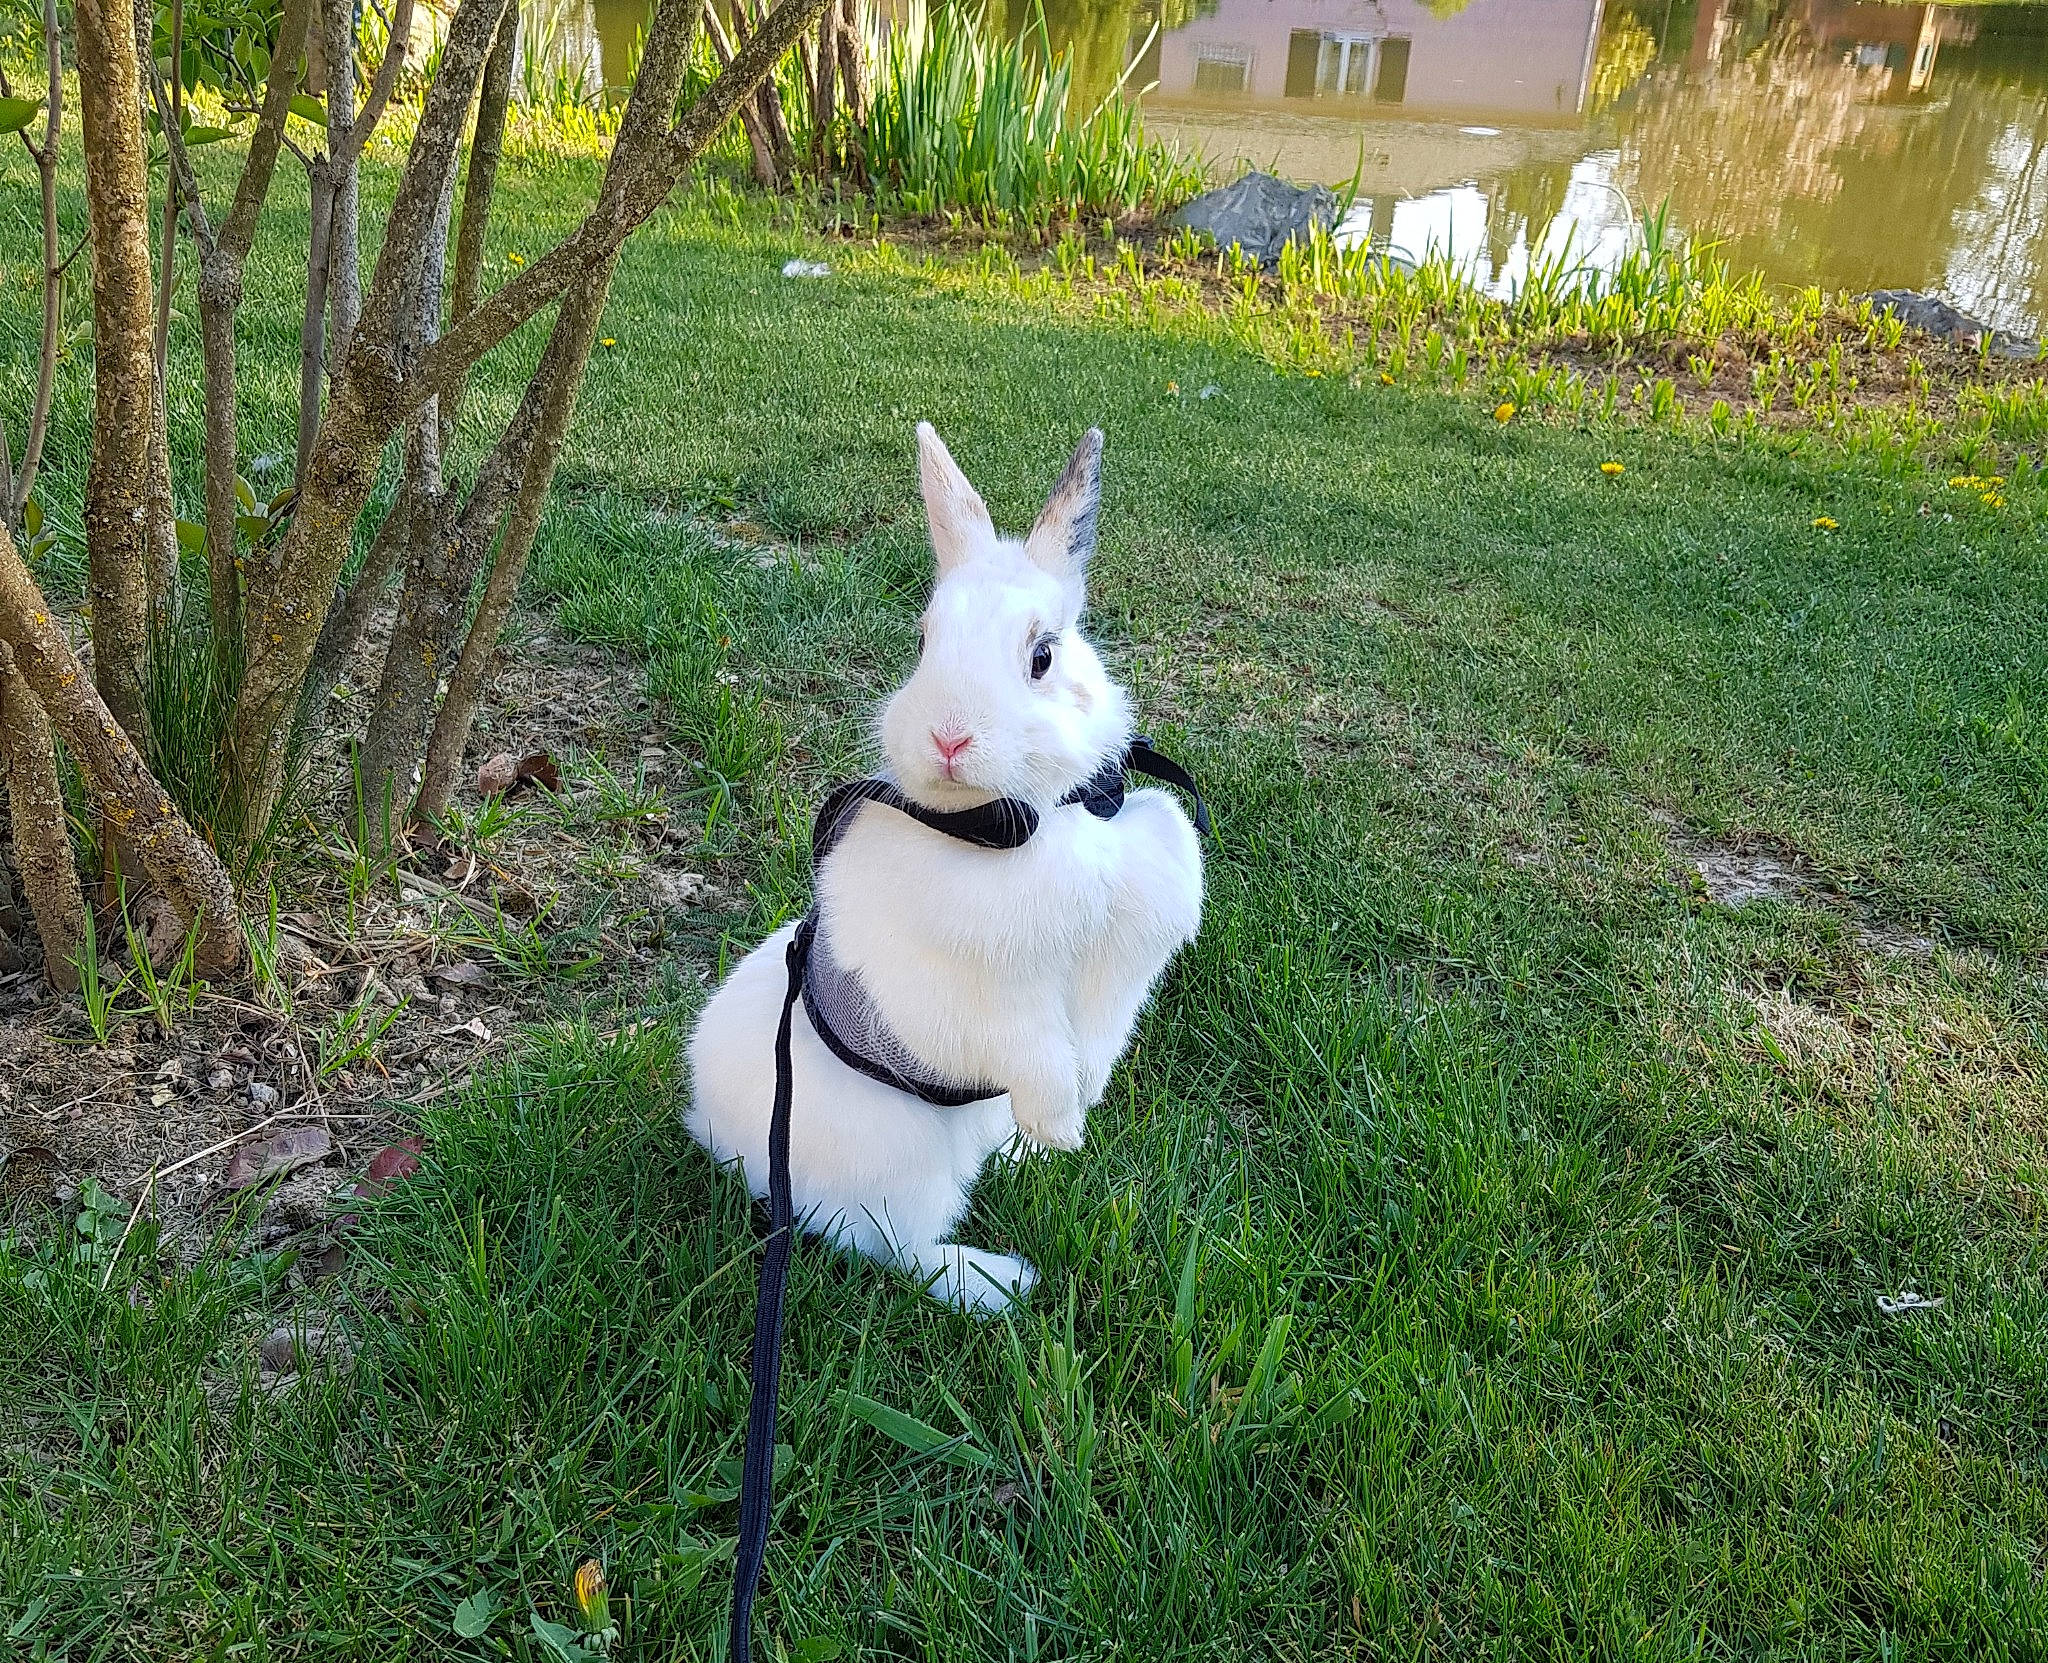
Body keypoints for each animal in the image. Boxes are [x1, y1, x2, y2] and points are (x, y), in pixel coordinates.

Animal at [686, 423, 1204, 1315]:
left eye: (1043, 655)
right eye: (923, 641)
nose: (949, 737)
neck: (1030, 820)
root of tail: (713, 1131)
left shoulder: (1122, 971)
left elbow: (1094, 1043)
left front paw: (1067, 1126)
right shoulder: (970, 1003)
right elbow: (1030, 1048)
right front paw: (1063, 1124)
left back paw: (1023, 1160)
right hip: (901, 1174)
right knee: (896, 1249)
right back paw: (1001, 1282)